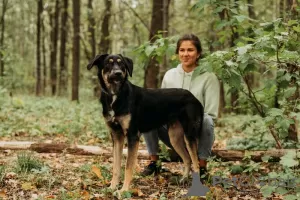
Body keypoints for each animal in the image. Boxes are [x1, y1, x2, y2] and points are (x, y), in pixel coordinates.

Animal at [86, 53, 204, 192]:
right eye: (108, 63)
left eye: (121, 64)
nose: (118, 73)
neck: (116, 95)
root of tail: (194, 98)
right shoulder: (116, 135)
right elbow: (116, 166)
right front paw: (112, 187)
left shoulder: (132, 136)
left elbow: (128, 167)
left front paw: (124, 190)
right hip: (175, 137)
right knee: (187, 159)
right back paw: (183, 179)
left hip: (189, 135)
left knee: (196, 163)